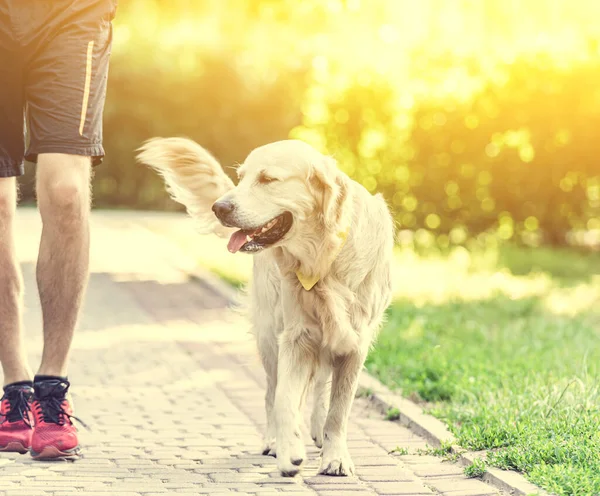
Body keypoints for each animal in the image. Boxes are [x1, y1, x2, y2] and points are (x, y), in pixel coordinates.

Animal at [138, 137, 396, 476]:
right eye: (242, 177)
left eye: (268, 179)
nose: (219, 207)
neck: (323, 258)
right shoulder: (295, 336)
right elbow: (285, 398)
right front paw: (289, 450)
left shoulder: (354, 341)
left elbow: (339, 409)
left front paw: (335, 456)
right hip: (269, 333)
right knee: (272, 391)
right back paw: (276, 440)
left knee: (321, 384)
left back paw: (316, 430)